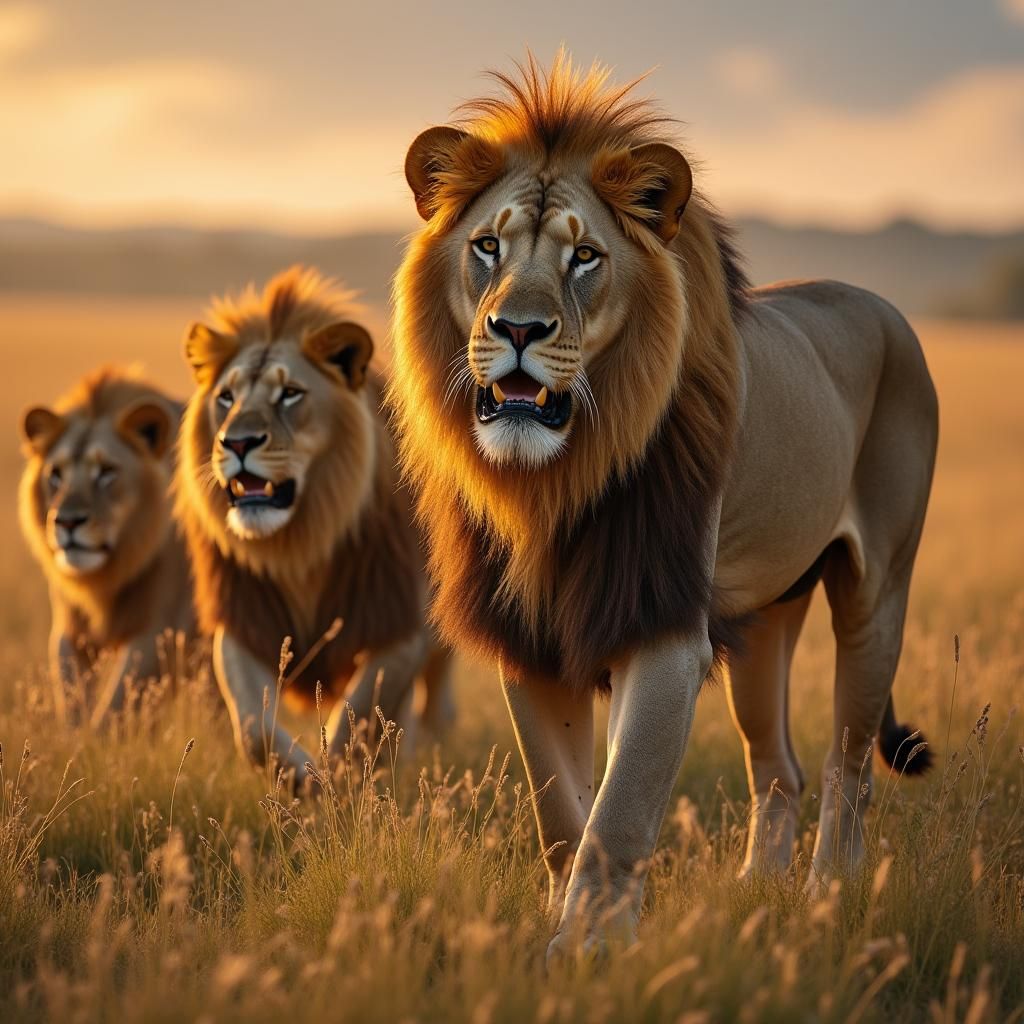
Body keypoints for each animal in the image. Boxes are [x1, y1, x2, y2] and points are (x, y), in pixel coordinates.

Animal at [18, 367, 193, 725]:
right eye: (55, 474)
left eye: (107, 471)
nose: (67, 521)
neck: (107, 578)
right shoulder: (70, 634)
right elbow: (72, 704)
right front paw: (74, 739)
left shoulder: (158, 631)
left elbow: (113, 709)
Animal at [174, 266, 454, 778]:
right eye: (226, 397)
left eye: (290, 394)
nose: (236, 442)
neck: (299, 545)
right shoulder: (244, 624)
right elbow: (253, 727)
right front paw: (298, 778)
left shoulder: (399, 623)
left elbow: (359, 715)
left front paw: (335, 777)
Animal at [390, 53, 939, 958]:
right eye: (486, 246)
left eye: (584, 256)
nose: (516, 328)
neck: (553, 484)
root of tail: (885, 307)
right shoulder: (533, 638)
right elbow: (563, 812)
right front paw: (565, 933)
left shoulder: (664, 625)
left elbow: (618, 814)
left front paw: (586, 955)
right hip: (765, 621)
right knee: (778, 768)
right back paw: (758, 891)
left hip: (877, 596)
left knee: (848, 767)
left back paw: (827, 897)